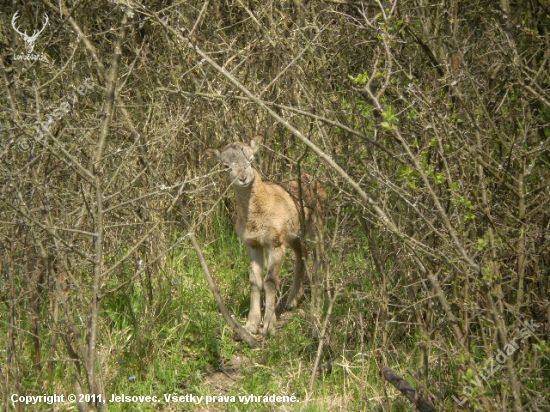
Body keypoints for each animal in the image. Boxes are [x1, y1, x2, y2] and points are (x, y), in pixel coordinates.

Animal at [209, 140, 326, 336]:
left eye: (251, 159)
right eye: (225, 166)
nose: (243, 178)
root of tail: (317, 182)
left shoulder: (275, 243)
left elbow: (270, 281)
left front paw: (269, 326)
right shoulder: (253, 244)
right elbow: (255, 282)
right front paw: (251, 325)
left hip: (316, 225)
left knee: (319, 258)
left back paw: (318, 302)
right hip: (293, 235)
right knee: (302, 256)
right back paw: (292, 301)